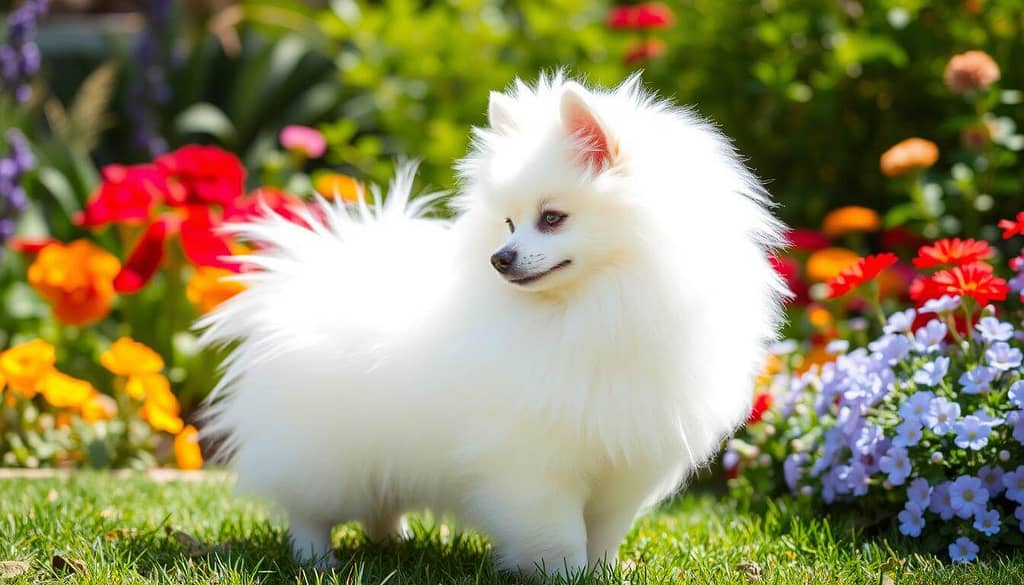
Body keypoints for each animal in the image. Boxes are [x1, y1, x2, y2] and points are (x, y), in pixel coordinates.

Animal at [201, 73, 790, 577]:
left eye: (551, 218)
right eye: (508, 223)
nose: (499, 258)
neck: (594, 308)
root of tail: (311, 272)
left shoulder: (623, 464)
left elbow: (603, 532)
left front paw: (602, 571)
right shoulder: (533, 466)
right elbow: (558, 534)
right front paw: (565, 574)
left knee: (379, 505)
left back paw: (394, 540)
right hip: (326, 459)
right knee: (309, 512)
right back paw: (319, 560)